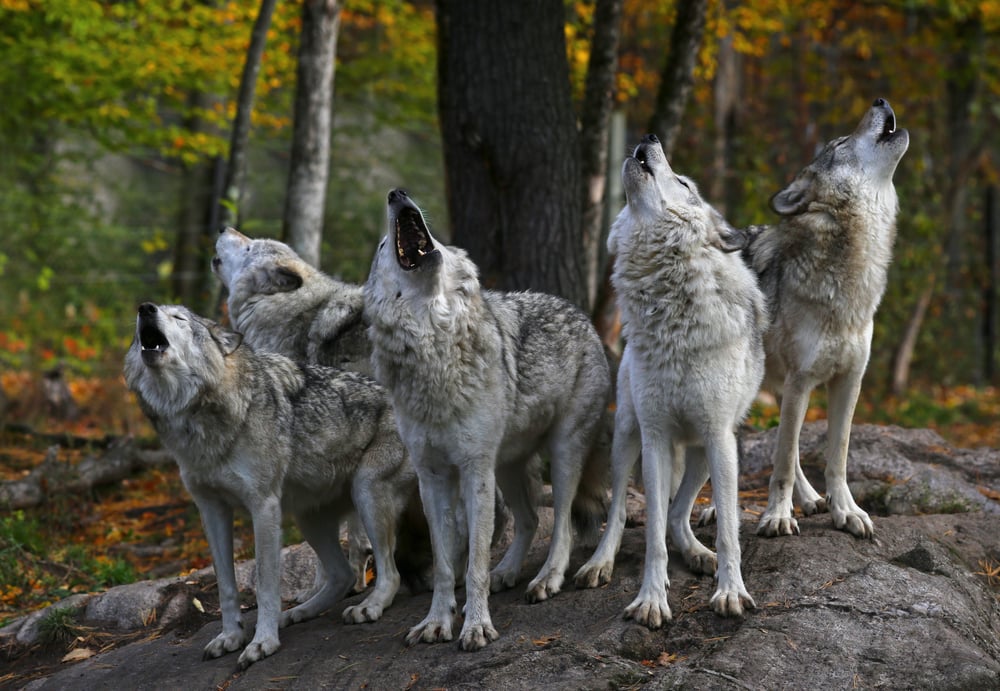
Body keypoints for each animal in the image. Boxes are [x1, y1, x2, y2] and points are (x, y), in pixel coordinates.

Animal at [123, 303, 415, 668]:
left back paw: (369, 606)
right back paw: (299, 613)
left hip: (366, 492)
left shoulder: (262, 506)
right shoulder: (211, 511)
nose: (144, 308)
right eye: (147, 315)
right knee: (342, 575)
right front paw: (230, 637)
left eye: (179, 318)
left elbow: (264, 583)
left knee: (389, 572)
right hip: (308, 518)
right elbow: (226, 586)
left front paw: (262, 642)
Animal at [364, 189, 611, 651]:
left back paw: (546, 579)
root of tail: (578, 312)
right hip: (508, 467)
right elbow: (446, 565)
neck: (435, 344)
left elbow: (474, 562)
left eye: (438, 239)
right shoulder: (433, 478)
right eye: (384, 246)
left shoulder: (474, 470)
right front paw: (437, 622)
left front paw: (476, 625)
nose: (396, 193)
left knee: (563, 524)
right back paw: (508, 572)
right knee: (529, 520)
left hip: (562, 453)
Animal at [574, 135, 765, 627]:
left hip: (705, 451)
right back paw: (599, 563)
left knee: (680, 513)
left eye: (682, 182)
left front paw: (730, 592)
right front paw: (651, 600)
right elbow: (652, 535)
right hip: (628, 436)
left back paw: (699, 555)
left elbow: (728, 531)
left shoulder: (718, 438)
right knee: (621, 513)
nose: (650, 137)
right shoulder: (656, 437)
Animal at [748, 98, 909, 539]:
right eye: (839, 144)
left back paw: (811, 500)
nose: (880, 100)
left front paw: (847, 512)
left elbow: (835, 456)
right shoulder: (802, 380)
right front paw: (776, 516)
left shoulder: (848, 381)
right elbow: (783, 462)